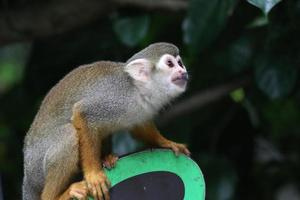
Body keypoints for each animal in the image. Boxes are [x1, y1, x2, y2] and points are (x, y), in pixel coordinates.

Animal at [22, 43, 190, 200]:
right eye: (170, 64)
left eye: (180, 63)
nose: (183, 72)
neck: (137, 90)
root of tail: (27, 177)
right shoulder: (117, 99)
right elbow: (83, 113)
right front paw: (93, 175)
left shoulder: (140, 109)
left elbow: (140, 127)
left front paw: (166, 142)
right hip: (37, 168)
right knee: (67, 134)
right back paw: (57, 195)